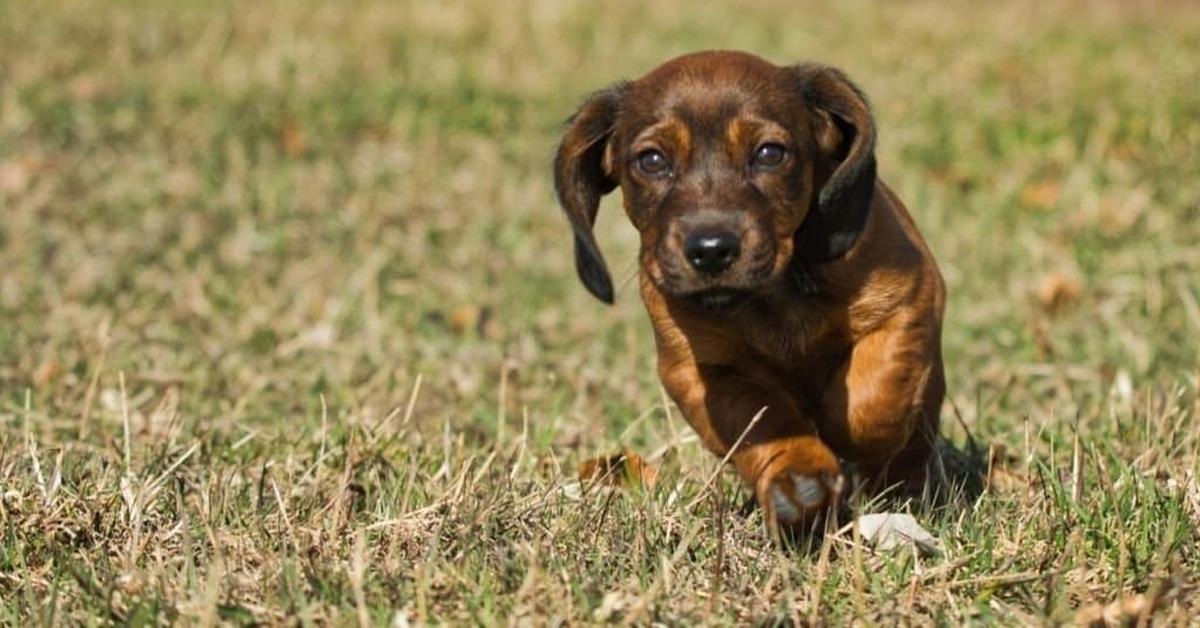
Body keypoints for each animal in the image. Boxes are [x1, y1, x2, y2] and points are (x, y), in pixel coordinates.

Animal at [552, 51, 945, 530]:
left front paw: (854, 436)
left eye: (769, 154)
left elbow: (870, 401)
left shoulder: (909, 299)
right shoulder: (703, 371)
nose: (711, 251)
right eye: (651, 160)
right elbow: (766, 422)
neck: (775, 294)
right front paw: (799, 480)